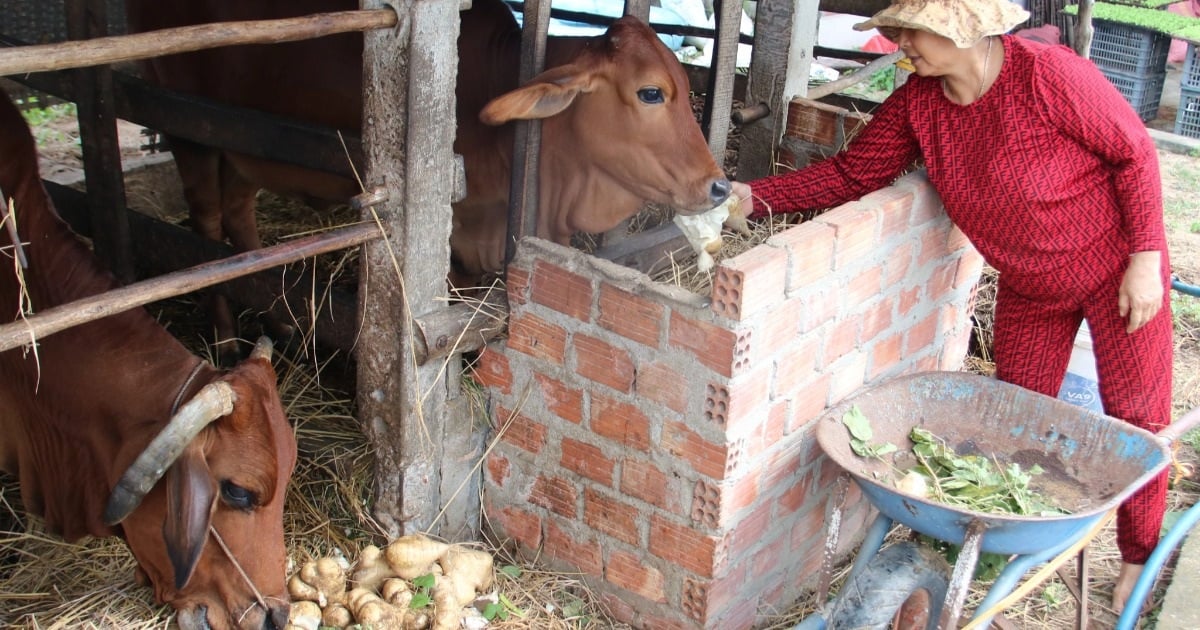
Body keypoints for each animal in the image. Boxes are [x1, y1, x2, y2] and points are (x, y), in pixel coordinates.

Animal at [124, 0, 729, 352]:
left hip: (243, 142)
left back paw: (281, 324)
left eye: (685, 83)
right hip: (189, 129)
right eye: (650, 92)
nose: (719, 185)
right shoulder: (454, 251)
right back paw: (227, 339)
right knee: (203, 229)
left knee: (238, 217)